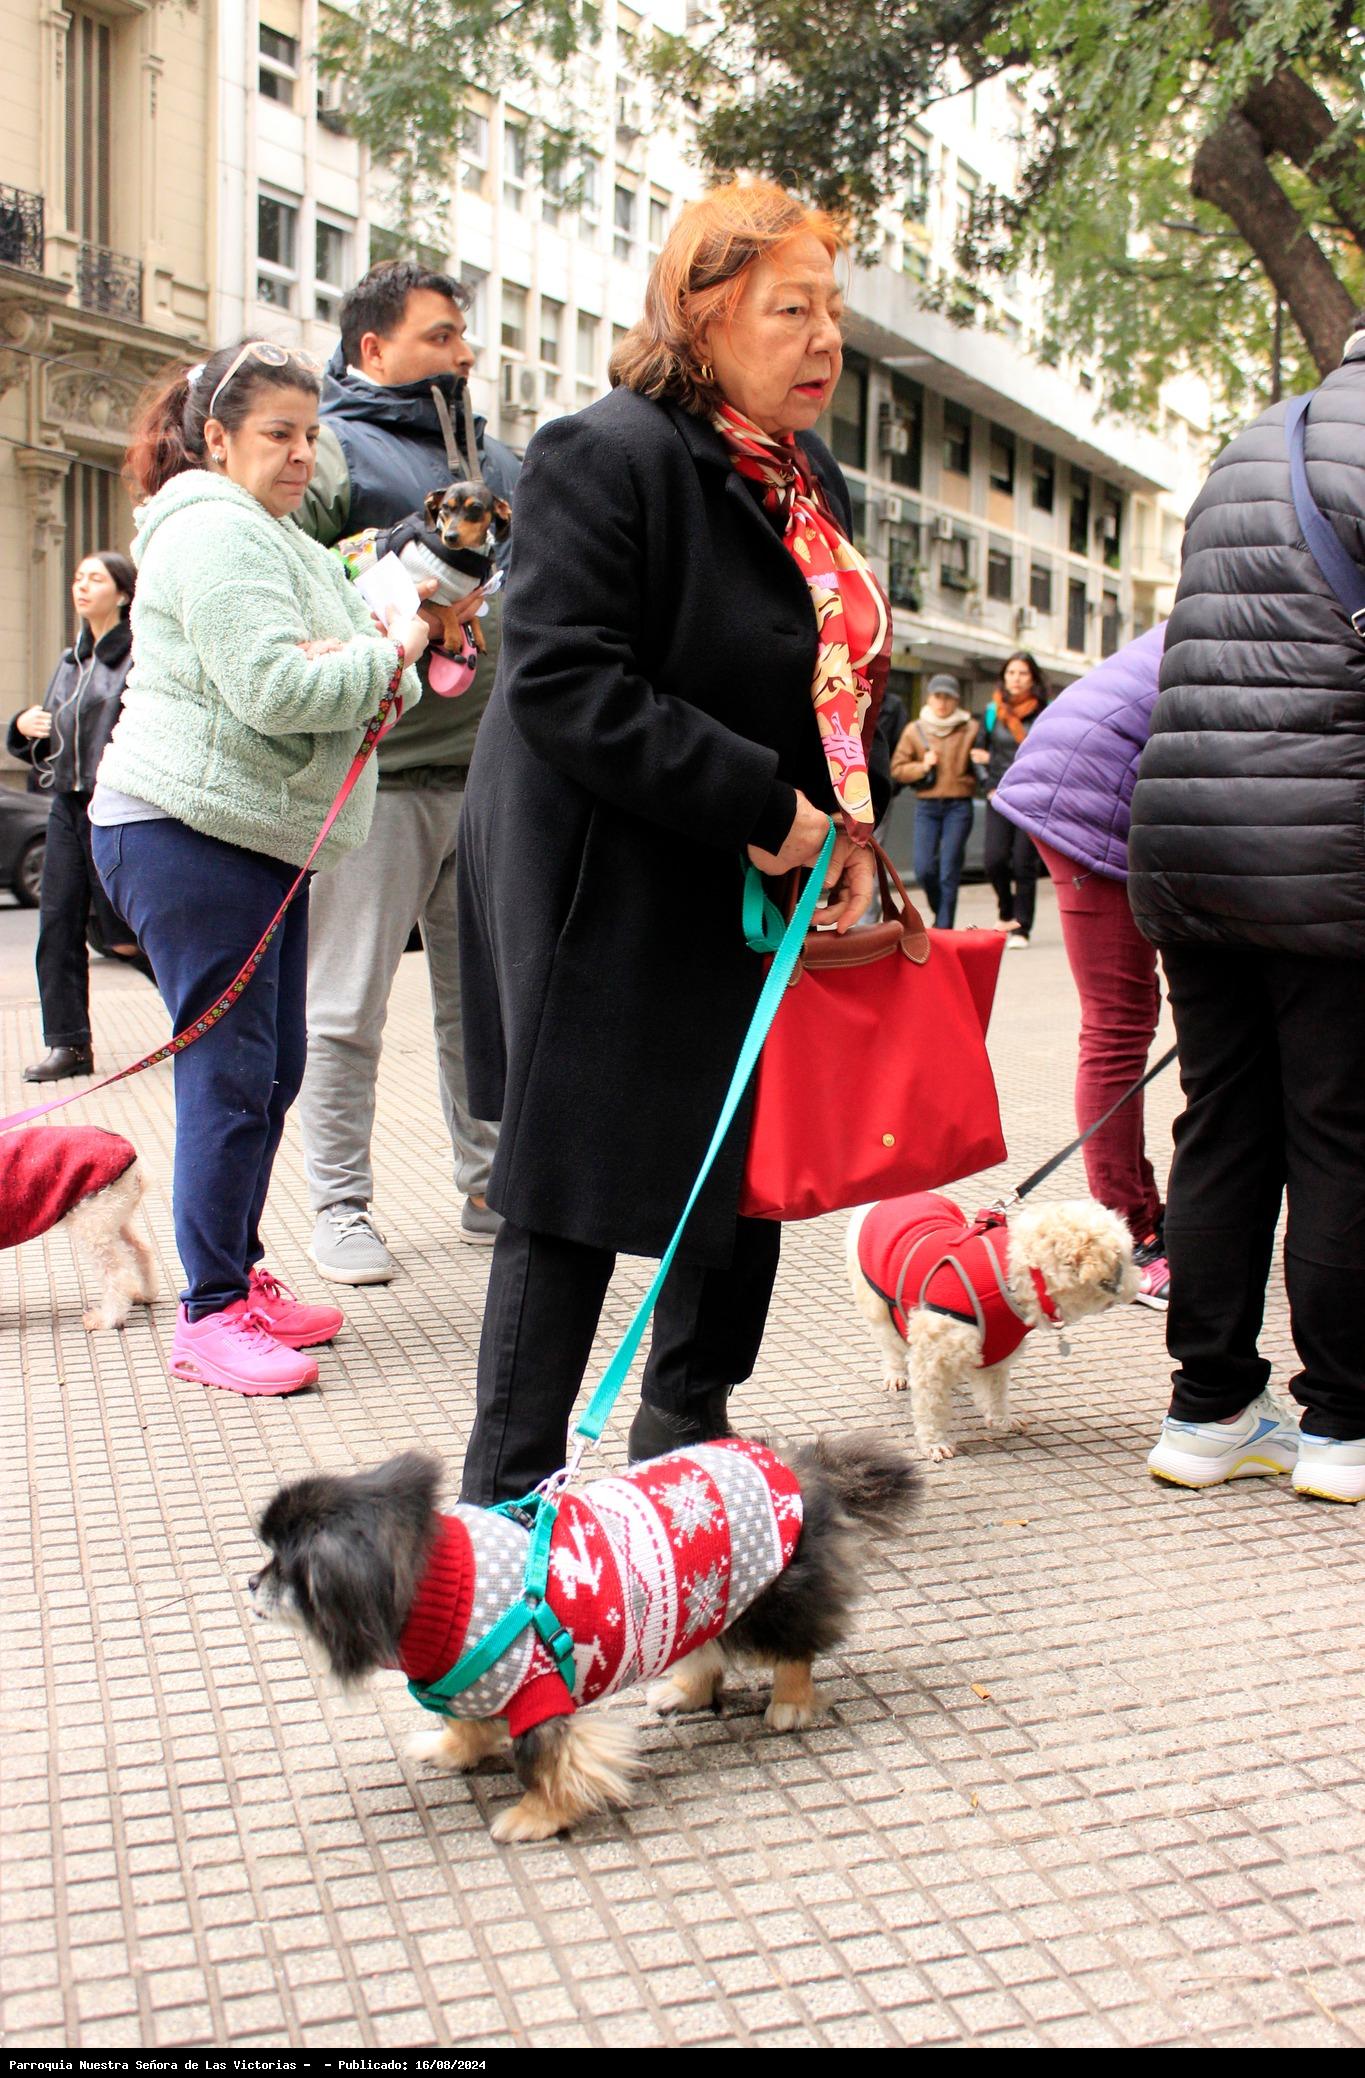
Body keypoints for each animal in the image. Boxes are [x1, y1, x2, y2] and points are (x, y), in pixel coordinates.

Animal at [1, 1125, 158, 1329]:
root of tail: (135, 1163)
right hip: (114, 1217)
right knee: (141, 1250)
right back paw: (146, 1293)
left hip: (92, 1223)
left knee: (116, 1274)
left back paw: (108, 1318)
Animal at [249, 1433, 917, 1842]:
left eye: (285, 1569)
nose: (251, 1583)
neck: (445, 1591)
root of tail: (798, 1465)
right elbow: (467, 1725)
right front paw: (455, 1751)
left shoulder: (540, 1698)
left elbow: (548, 1764)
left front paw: (535, 1817)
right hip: (708, 1593)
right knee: (704, 1647)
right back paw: (687, 1691)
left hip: (770, 1598)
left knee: (796, 1648)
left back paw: (791, 1704)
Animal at [847, 1191, 1137, 1461]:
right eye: (1125, 1259)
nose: (1139, 1283)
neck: (1013, 1279)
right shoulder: (933, 1360)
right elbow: (932, 1406)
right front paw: (933, 1441)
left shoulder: (997, 1348)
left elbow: (995, 1392)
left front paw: (1000, 1420)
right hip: (879, 1303)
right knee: (891, 1344)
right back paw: (896, 1372)